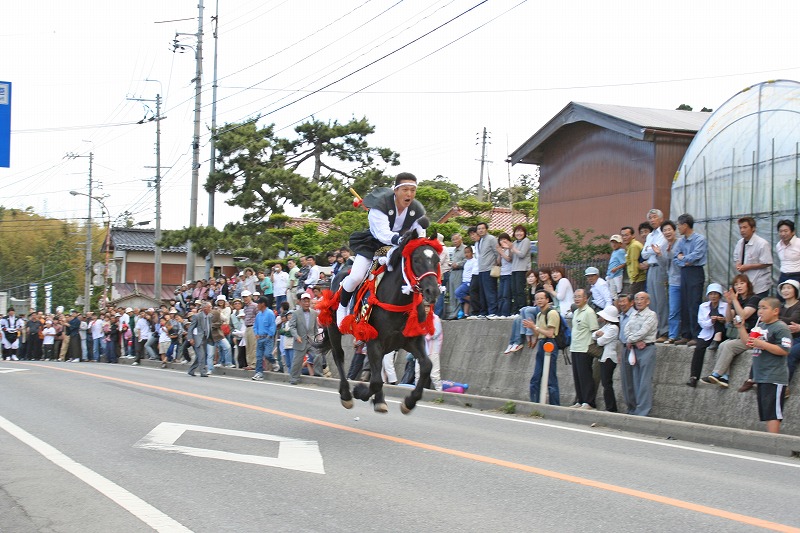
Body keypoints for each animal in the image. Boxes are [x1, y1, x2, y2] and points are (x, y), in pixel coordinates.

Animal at [316, 235, 444, 414]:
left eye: (437, 260)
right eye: (416, 259)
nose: (433, 291)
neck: (398, 300)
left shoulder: (411, 340)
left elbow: (426, 366)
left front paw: (409, 402)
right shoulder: (374, 341)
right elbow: (376, 381)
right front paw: (359, 391)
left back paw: (379, 400)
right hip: (334, 328)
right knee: (338, 355)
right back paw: (346, 394)